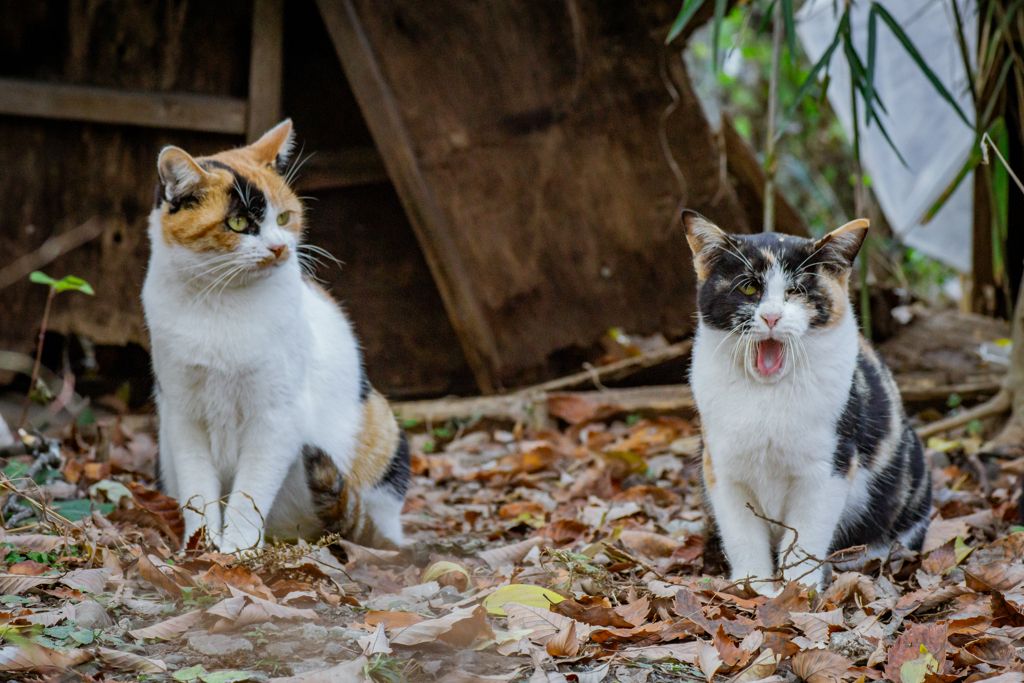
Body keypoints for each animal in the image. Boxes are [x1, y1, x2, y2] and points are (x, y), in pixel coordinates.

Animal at [144, 120, 407, 552]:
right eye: (238, 224)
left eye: (284, 218)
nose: (280, 248)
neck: (221, 304)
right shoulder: (183, 414)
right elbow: (198, 490)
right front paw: (200, 548)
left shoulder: (277, 416)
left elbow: (249, 495)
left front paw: (234, 552)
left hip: (383, 431)